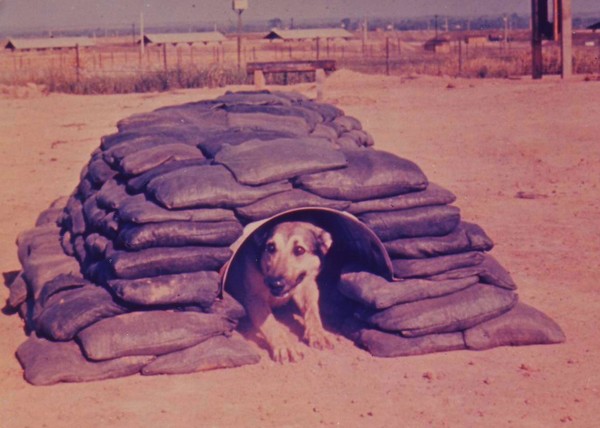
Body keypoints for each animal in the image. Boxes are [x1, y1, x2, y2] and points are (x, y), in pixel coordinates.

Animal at [236, 222, 338, 362]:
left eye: (299, 250)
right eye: (271, 247)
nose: (274, 283)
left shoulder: (308, 285)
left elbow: (312, 312)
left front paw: (318, 333)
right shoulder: (254, 299)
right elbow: (271, 324)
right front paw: (285, 346)